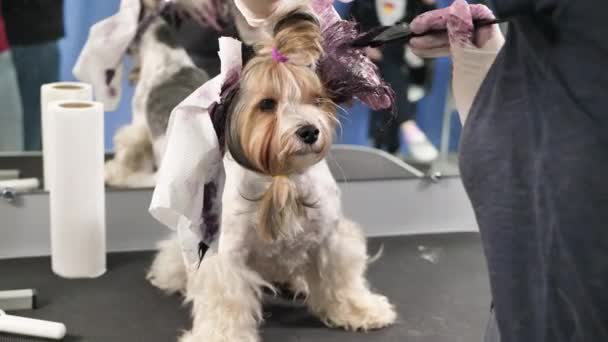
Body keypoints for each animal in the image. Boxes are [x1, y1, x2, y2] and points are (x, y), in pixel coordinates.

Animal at [145, 8, 396, 342]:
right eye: (267, 104)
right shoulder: (226, 255)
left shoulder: (330, 237)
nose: (309, 131)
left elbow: (341, 280)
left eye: (316, 99)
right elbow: (225, 301)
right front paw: (220, 334)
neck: (283, 177)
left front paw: (360, 309)